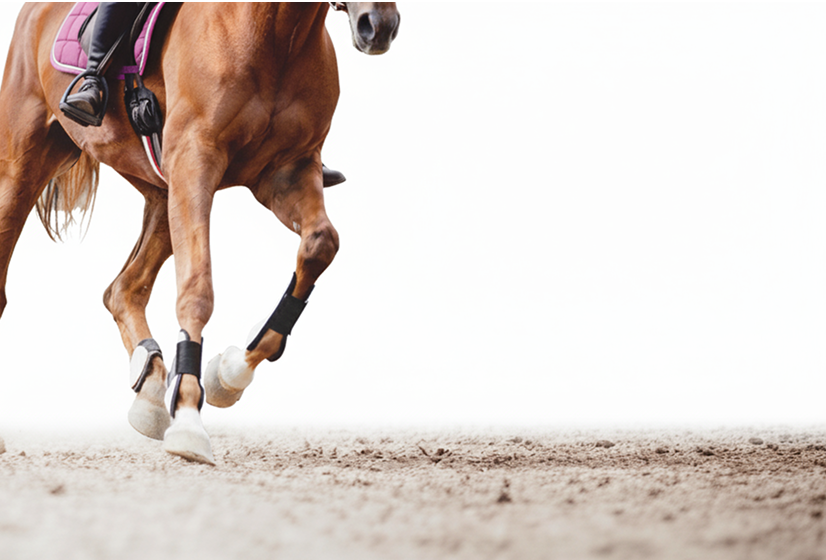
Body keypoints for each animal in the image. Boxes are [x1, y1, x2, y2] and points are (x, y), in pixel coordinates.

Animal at [0, 2, 400, 464]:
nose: (378, 27)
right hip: (24, 166)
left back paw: (151, 392)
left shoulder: (287, 173)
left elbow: (321, 244)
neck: (277, 35)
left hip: (160, 190)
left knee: (123, 289)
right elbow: (197, 289)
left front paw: (230, 373)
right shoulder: (196, 161)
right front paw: (190, 419)